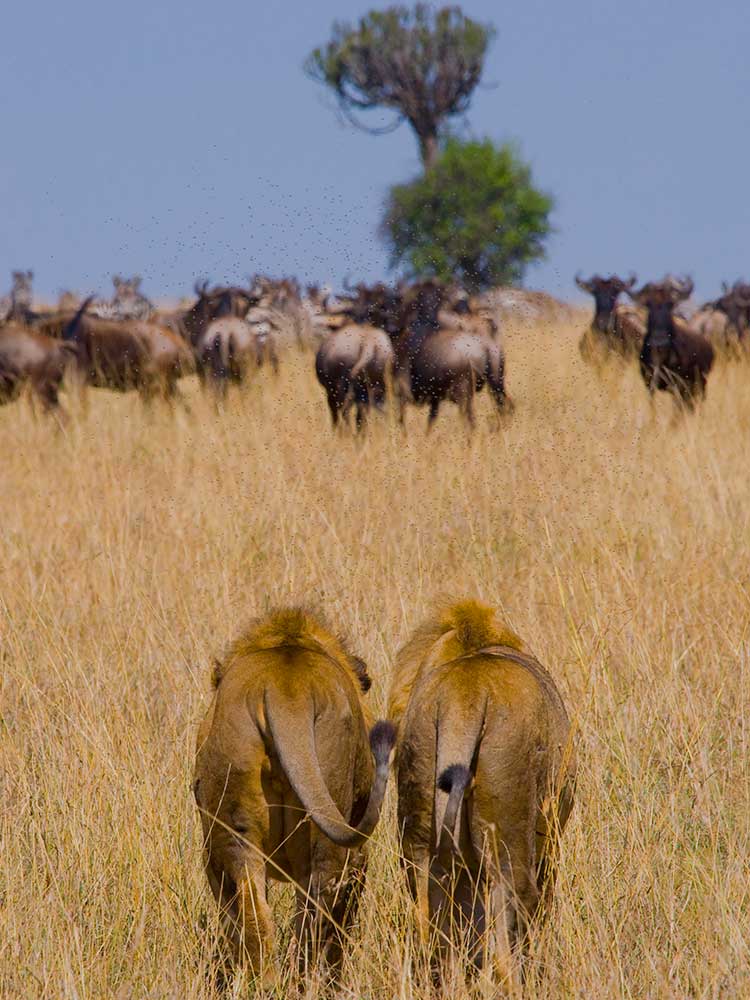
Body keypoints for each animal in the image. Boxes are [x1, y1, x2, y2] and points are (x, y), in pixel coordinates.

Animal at [193, 608, 396, 984]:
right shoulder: (359, 856)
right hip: (332, 831)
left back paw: (266, 983)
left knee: (257, 917)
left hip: (234, 825)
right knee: (316, 919)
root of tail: (285, 693)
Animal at [388, 599, 576, 984]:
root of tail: (464, 698)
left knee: (433, 932)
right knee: (513, 927)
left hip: (419, 839)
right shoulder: (550, 841)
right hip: (510, 833)